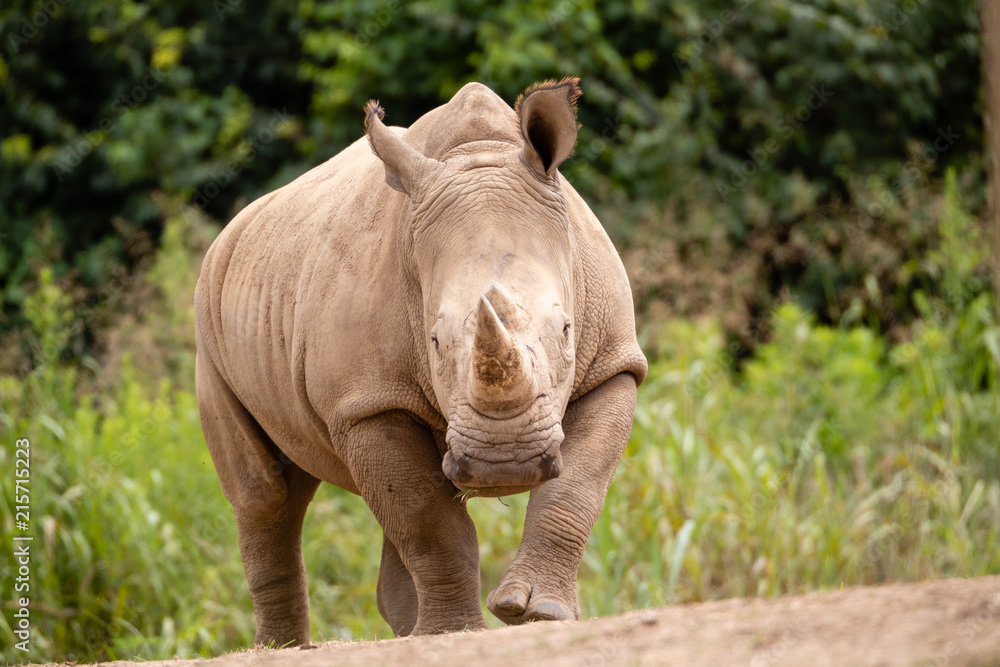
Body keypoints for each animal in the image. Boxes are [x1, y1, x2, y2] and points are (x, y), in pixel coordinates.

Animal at [194, 77, 647, 646]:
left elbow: (576, 488)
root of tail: (229, 232)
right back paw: (285, 647)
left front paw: (539, 614)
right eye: (432, 340)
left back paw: (407, 633)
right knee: (266, 492)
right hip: (208, 315)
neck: (477, 154)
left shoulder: (613, 364)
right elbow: (426, 518)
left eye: (567, 330)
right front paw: (454, 633)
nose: (507, 461)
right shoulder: (366, 400)